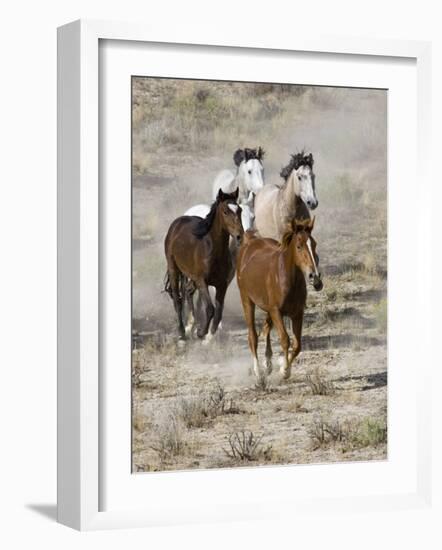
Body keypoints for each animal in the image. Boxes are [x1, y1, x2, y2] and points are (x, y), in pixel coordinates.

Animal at [164, 192, 243, 342]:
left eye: (239, 210)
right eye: (225, 211)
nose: (239, 236)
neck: (213, 251)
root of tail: (177, 222)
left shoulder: (222, 285)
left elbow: (218, 312)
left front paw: (208, 338)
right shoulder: (202, 281)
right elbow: (210, 308)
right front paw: (201, 333)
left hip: (192, 277)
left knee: (188, 291)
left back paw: (191, 327)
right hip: (174, 270)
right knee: (178, 300)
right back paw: (182, 333)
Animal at [237, 218, 322, 382]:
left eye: (314, 244)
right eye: (299, 246)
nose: (314, 278)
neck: (286, 278)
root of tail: (250, 242)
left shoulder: (297, 313)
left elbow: (297, 344)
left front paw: (282, 366)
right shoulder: (276, 311)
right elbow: (285, 339)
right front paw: (285, 371)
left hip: (267, 308)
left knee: (265, 329)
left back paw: (268, 363)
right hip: (247, 301)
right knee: (253, 336)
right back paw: (258, 372)